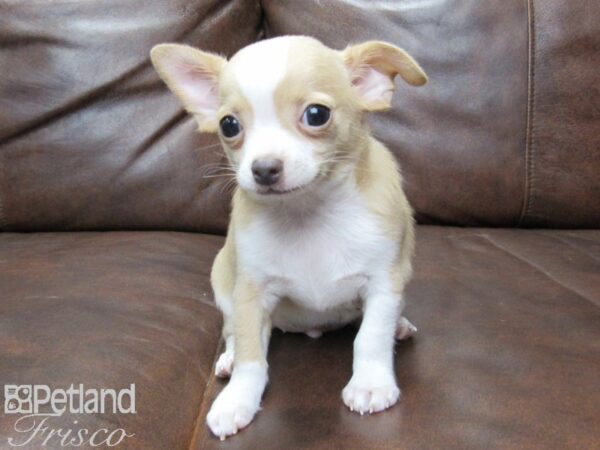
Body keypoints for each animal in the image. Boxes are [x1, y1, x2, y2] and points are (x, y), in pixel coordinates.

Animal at [150, 35, 426, 440]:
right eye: (229, 125)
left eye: (317, 115)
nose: (263, 168)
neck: (307, 213)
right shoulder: (251, 292)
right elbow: (251, 353)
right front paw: (237, 400)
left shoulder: (383, 282)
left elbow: (371, 336)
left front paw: (371, 383)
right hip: (224, 284)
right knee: (233, 331)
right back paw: (228, 359)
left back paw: (400, 326)